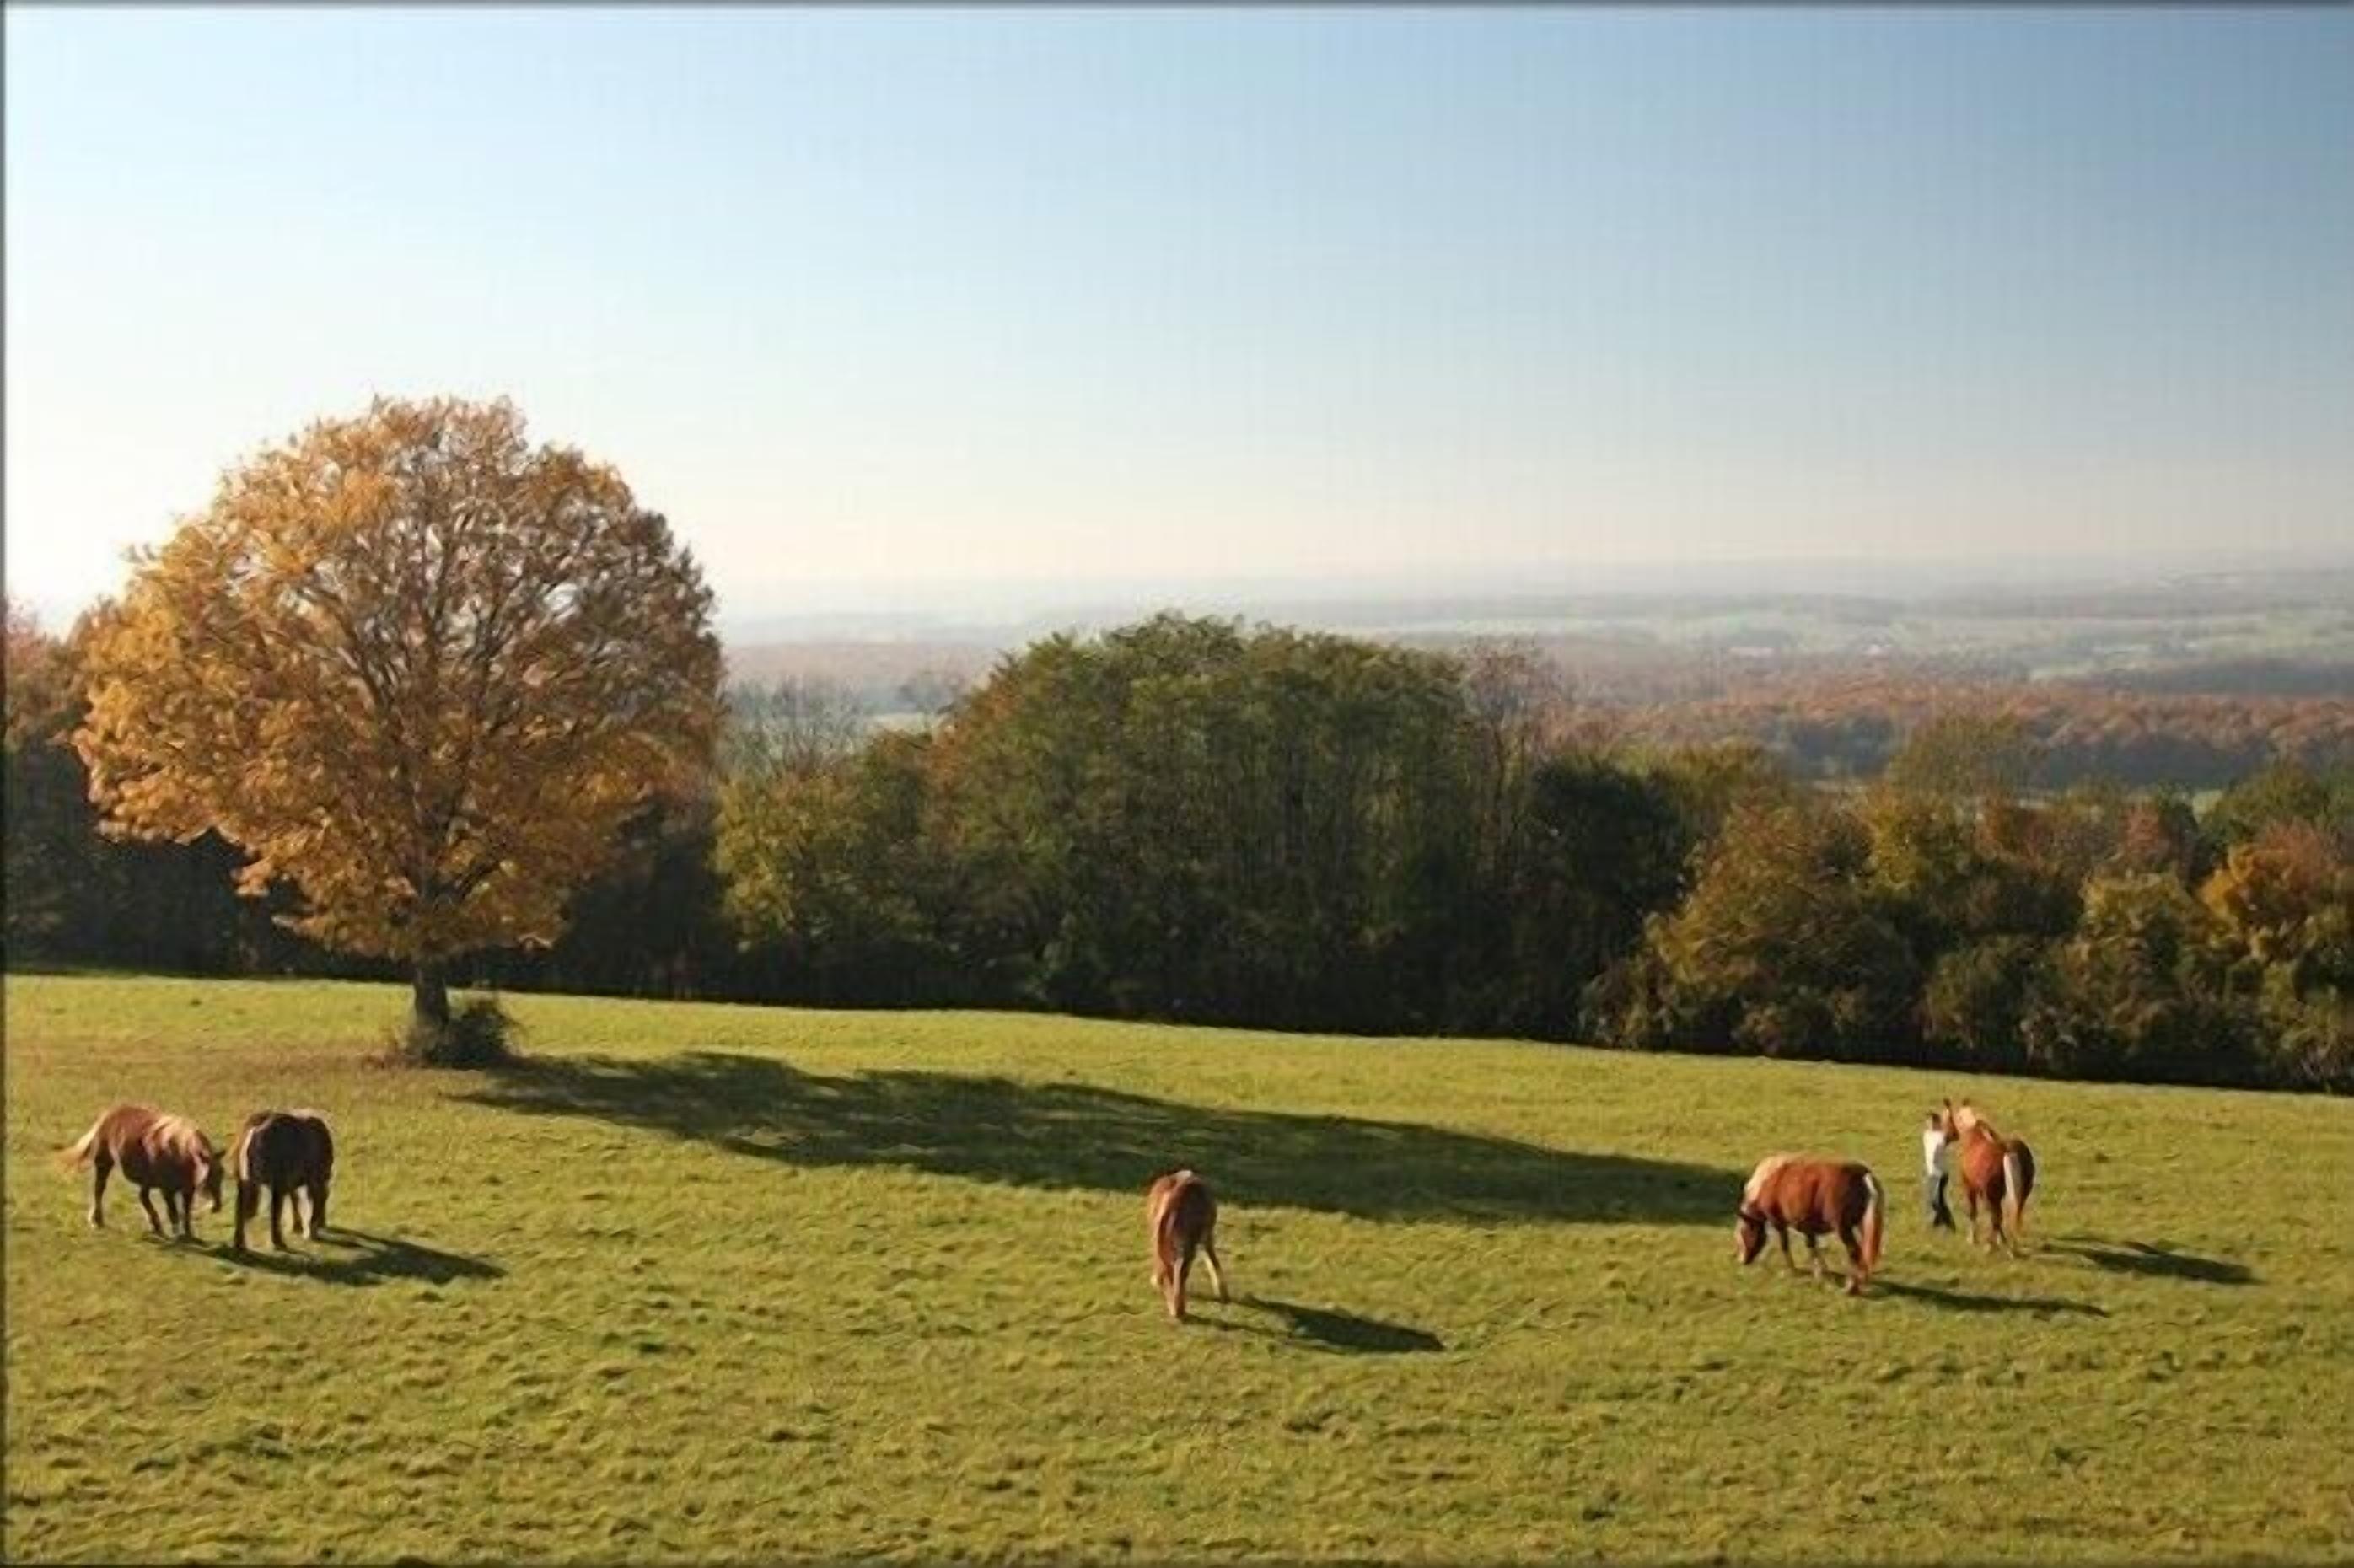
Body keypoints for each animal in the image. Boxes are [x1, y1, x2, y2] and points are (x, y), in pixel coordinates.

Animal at [57, 1104, 224, 1240]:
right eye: (207, 1177)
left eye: (221, 1176)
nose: (216, 1207)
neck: (179, 1152)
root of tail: (108, 1115)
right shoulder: (167, 1190)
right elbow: (174, 1213)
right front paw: (178, 1235)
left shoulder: (187, 1190)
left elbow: (186, 1212)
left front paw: (188, 1234)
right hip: (104, 1163)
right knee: (99, 1189)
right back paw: (97, 1221)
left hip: (144, 1179)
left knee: (142, 1197)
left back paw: (155, 1225)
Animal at [230, 1109, 336, 1252]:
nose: (322, 1225)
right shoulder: (310, 1179)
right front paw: (308, 1230)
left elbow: (295, 1199)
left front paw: (298, 1227)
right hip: (272, 1184)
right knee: (272, 1213)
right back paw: (279, 1242)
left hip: (244, 1182)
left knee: (240, 1209)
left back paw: (240, 1244)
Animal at [1145, 1169, 1229, 1322]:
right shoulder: (1204, 1235)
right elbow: (1212, 1259)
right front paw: (1222, 1292)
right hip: (1186, 1243)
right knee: (1180, 1270)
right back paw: (1178, 1310)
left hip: (1160, 1237)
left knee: (1168, 1268)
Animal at [1734, 1153, 1886, 1296]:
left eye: (1743, 1233)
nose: (1742, 1261)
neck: (1768, 1181)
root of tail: (1863, 1174)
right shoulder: (1807, 1226)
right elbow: (1812, 1247)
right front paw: (1821, 1274)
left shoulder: (1779, 1222)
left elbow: (1785, 1245)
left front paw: (1792, 1270)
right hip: (1863, 1225)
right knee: (1865, 1250)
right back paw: (1861, 1279)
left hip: (1843, 1228)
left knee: (1855, 1252)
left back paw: (1851, 1288)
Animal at [1940, 1098, 2036, 1253]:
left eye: (1945, 1118)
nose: (1945, 1138)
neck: (1973, 1135)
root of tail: (2008, 1151)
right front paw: (2002, 1240)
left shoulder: (1970, 1187)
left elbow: (1973, 1212)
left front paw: (1973, 1239)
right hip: (2022, 1193)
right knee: (2014, 1215)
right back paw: (2011, 1246)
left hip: (1992, 1194)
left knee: (1997, 1217)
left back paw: (1992, 1246)